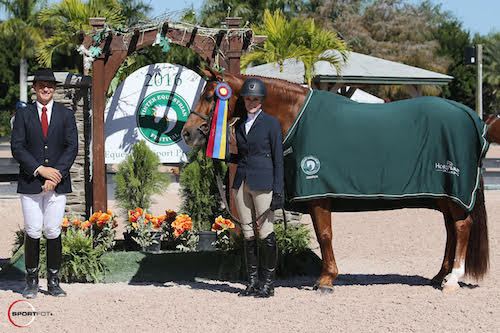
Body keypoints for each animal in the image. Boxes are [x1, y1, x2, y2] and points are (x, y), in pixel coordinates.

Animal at [182, 68, 490, 292]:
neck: (296, 118)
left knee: (461, 227)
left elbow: (325, 235)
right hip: (446, 195)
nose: (187, 133)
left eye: (210, 96)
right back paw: (439, 276)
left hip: (455, 193)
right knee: (451, 230)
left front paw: (326, 279)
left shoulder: (318, 194)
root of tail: (471, 116)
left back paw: (452, 279)